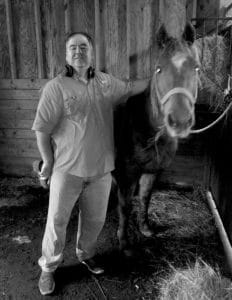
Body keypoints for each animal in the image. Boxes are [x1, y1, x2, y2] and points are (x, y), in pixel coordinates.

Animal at [113, 22, 200, 255]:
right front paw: (124, 243)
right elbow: (125, 206)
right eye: (158, 69)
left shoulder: (153, 170)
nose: (179, 121)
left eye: (196, 68)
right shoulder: (128, 174)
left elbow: (145, 198)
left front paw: (145, 228)